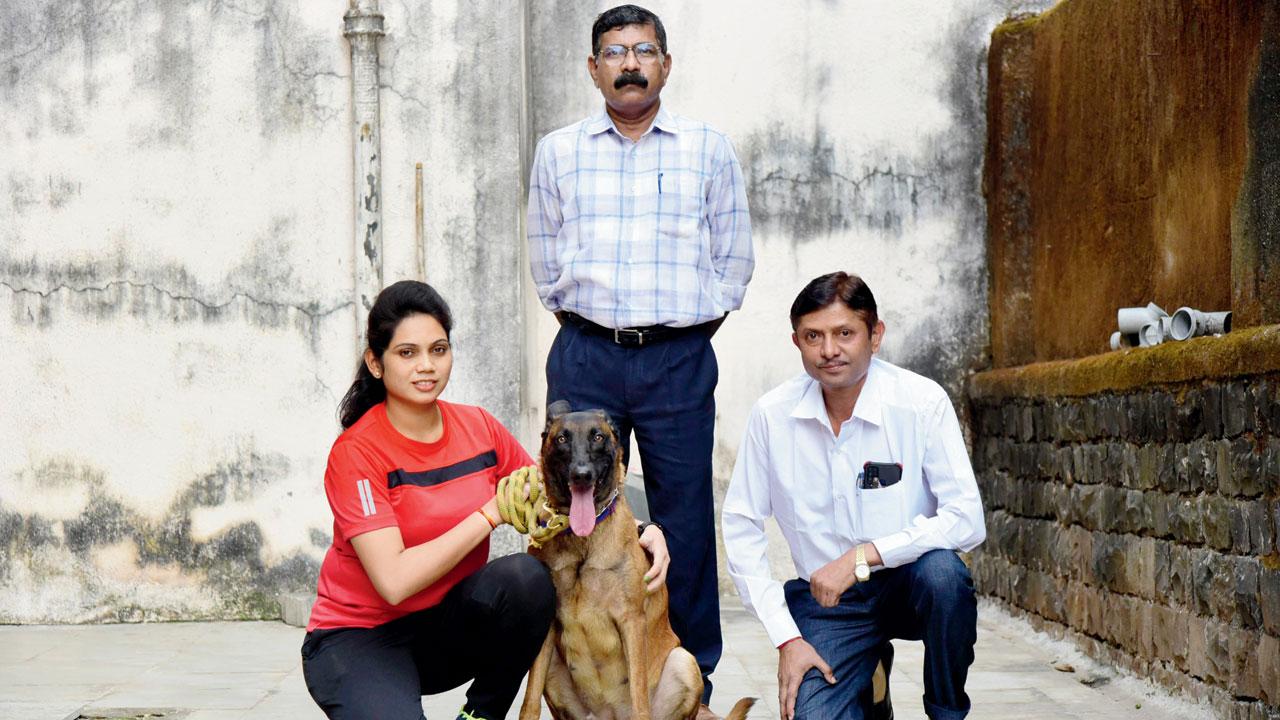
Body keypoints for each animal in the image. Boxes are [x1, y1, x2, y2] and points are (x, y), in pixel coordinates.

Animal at [519, 399, 752, 717]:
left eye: (597, 437)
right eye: (562, 439)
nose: (582, 474)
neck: (583, 542)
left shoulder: (632, 622)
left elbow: (639, 697)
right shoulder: (547, 630)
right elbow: (529, 702)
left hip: (683, 661)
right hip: (555, 664)